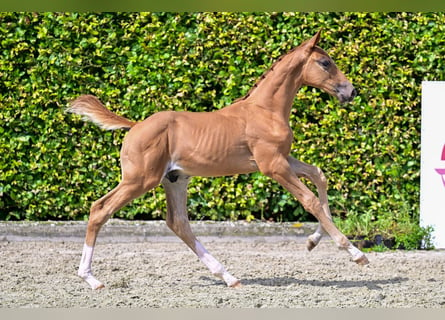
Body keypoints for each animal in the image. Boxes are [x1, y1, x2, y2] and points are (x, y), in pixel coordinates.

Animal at [68, 30, 368, 290]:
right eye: (325, 62)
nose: (351, 91)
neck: (265, 109)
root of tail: (135, 125)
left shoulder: (281, 159)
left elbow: (319, 175)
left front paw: (312, 241)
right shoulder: (273, 165)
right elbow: (310, 200)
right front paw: (356, 253)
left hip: (174, 180)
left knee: (178, 223)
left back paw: (228, 277)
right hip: (140, 180)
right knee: (100, 209)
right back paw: (90, 278)